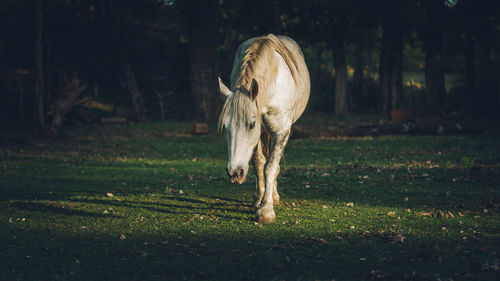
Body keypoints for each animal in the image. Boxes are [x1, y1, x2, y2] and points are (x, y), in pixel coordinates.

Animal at [218, 34, 308, 222]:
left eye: (252, 124)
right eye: (225, 127)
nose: (234, 173)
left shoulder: (281, 131)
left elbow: (270, 167)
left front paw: (266, 210)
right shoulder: (259, 135)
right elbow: (259, 165)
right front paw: (259, 200)